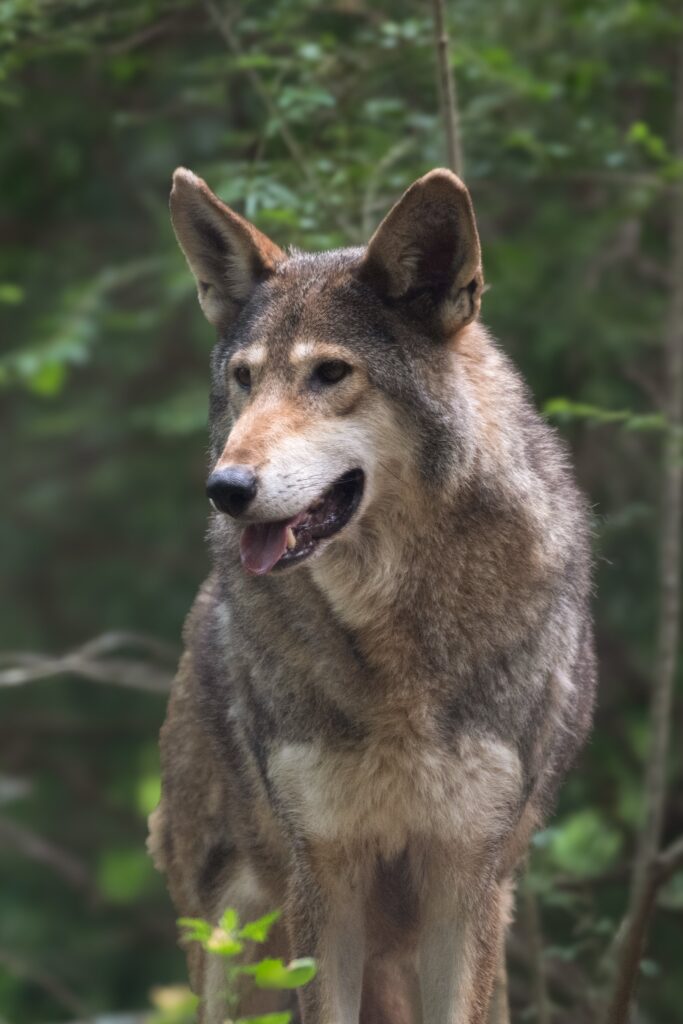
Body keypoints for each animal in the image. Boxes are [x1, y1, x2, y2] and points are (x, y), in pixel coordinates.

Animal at [149, 166, 596, 1024]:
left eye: (330, 373)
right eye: (244, 379)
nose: (226, 488)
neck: (398, 642)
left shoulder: (465, 881)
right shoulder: (324, 881)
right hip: (235, 947)